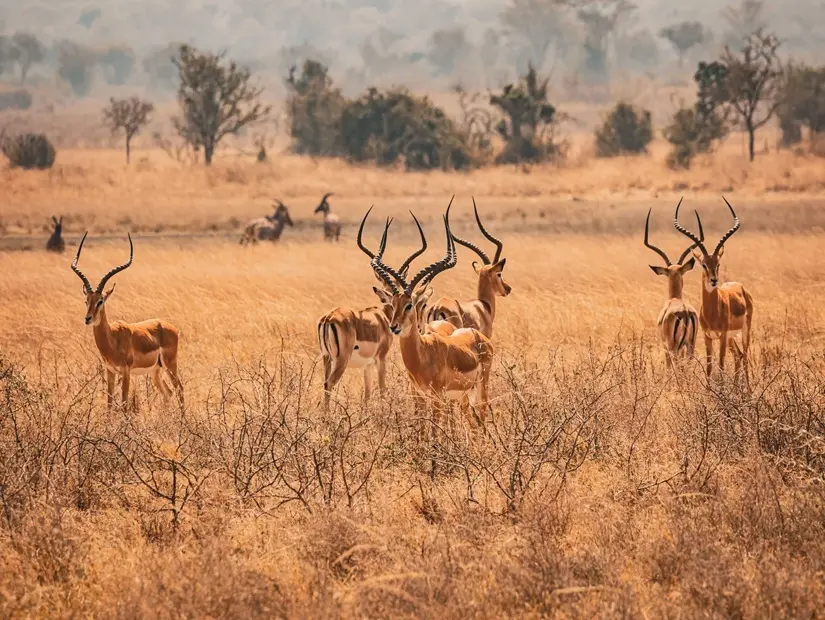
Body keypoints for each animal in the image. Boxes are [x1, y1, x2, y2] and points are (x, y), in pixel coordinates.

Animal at [71, 232, 184, 410]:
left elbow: (124, 403)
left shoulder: (126, 371)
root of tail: (170, 326)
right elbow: (109, 404)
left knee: (180, 390)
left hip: (170, 364)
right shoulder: (110, 371)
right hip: (155, 370)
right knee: (168, 393)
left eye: (100, 301)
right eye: (86, 301)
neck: (112, 338)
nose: (88, 318)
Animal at [371, 211, 494, 434]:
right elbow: (422, 432)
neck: (423, 355)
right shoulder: (420, 396)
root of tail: (479, 336)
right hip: (463, 395)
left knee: (482, 415)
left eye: (410, 304)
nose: (394, 327)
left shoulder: (437, 398)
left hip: (481, 387)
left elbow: (436, 434)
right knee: (473, 423)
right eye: (392, 304)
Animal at [674, 197, 754, 387]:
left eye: (717, 264)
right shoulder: (707, 336)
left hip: (744, 331)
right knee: (739, 355)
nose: (714, 280)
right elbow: (710, 366)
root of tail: (742, 288)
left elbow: (721, 364)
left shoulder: (722, 336)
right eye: (704, 264)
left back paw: (748, 389)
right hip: (731, 338)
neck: (712, 312)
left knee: (745, 356)